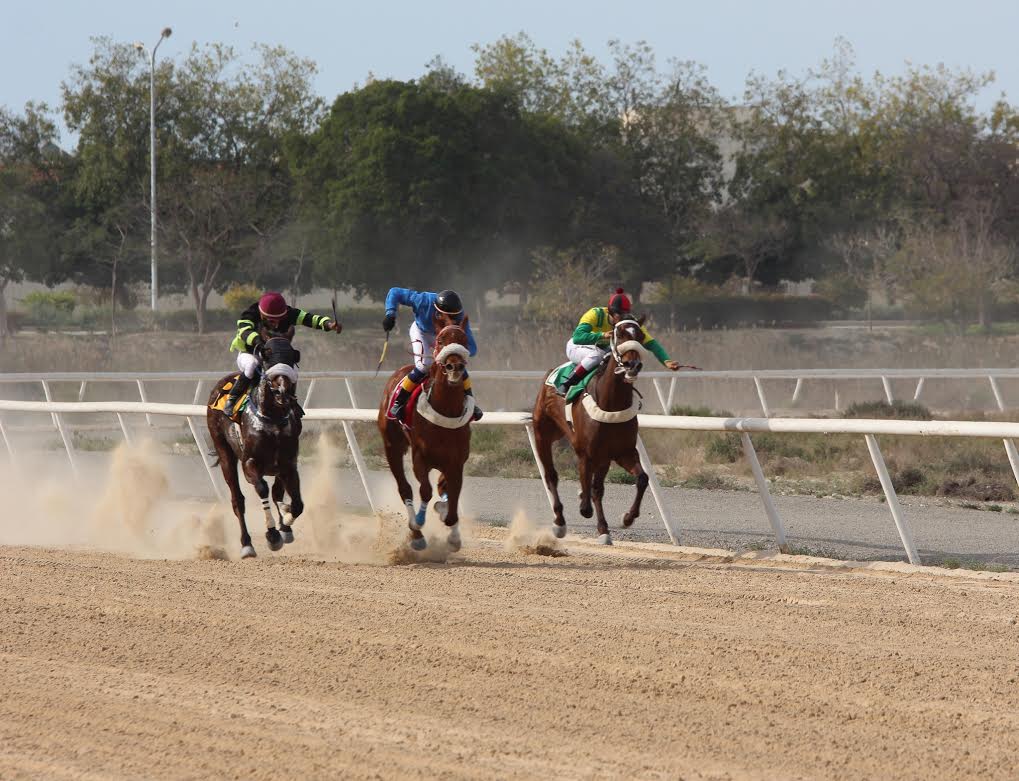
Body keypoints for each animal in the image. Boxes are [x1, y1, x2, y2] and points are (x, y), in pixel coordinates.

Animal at [205, 334, 301, 558]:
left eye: (290, 360)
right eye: (267, 360)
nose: (283, 392)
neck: (272, 420)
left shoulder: (288, 464)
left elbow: (297, 504)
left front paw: (286, 520)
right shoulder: (250, 462)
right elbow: (262, 489)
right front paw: (273, 535)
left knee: (276, 493)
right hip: (224, 452)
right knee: (238, 500)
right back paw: (246, 544)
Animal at [381, 326, 474, 554]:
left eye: (465, 340)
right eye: (440, 341)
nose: (454, 367)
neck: (445, 410)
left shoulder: (456, 462)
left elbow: (451, 498)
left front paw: (453, 535)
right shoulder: (420, 458)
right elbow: (425, 490)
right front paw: (419, 524)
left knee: (441, 489)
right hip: (392, 447)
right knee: (404, 487)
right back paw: (416, 534)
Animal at [529, 318, 648, 546]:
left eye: (641, 336)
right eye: (619, 334)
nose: (633, 365)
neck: (611, 404)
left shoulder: (621, 452)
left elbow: (641, 479)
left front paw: (626, 519)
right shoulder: (587, 453)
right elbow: (587, 497)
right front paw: (585, 506)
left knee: (596, 487)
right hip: (542, 434)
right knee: (551, 475)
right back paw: (559, 521)